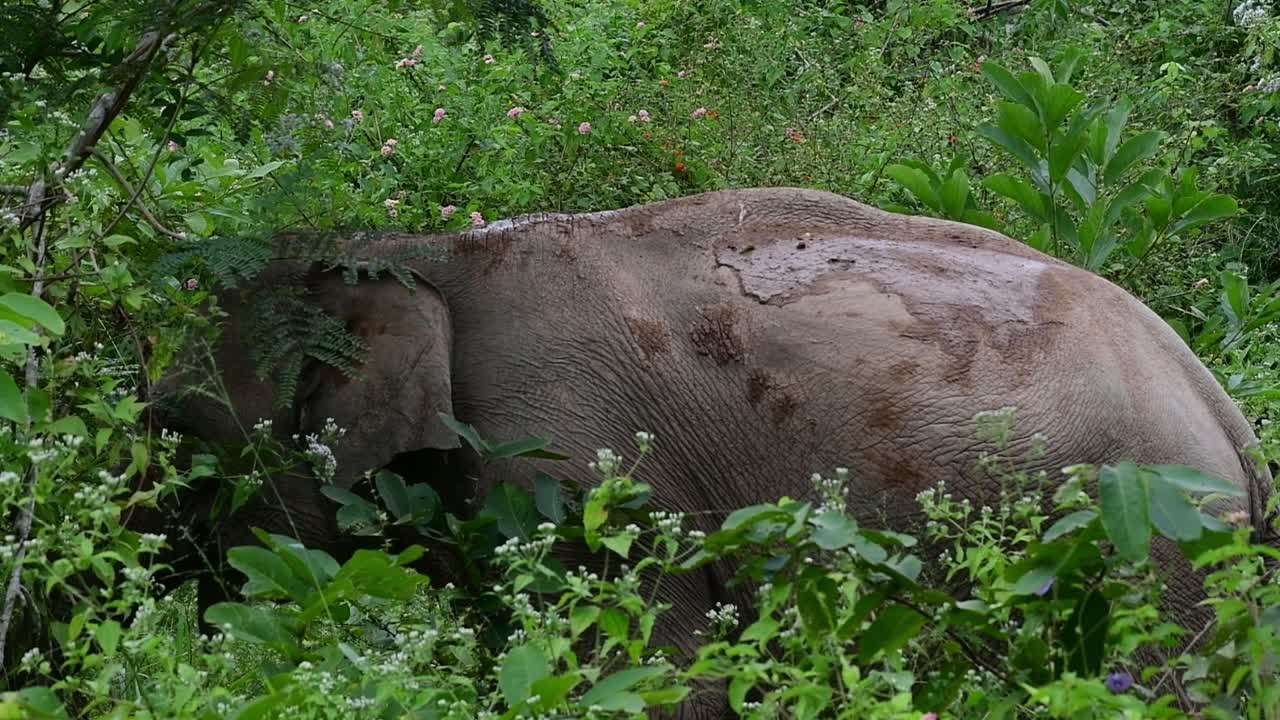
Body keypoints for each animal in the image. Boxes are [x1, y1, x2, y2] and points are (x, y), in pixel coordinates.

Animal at [147, 187, 1273, 718]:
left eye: (177, 432)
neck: (410, 250)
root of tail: (1225, 417)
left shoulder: (570, 461)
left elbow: (656, 675)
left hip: (1151, 553)